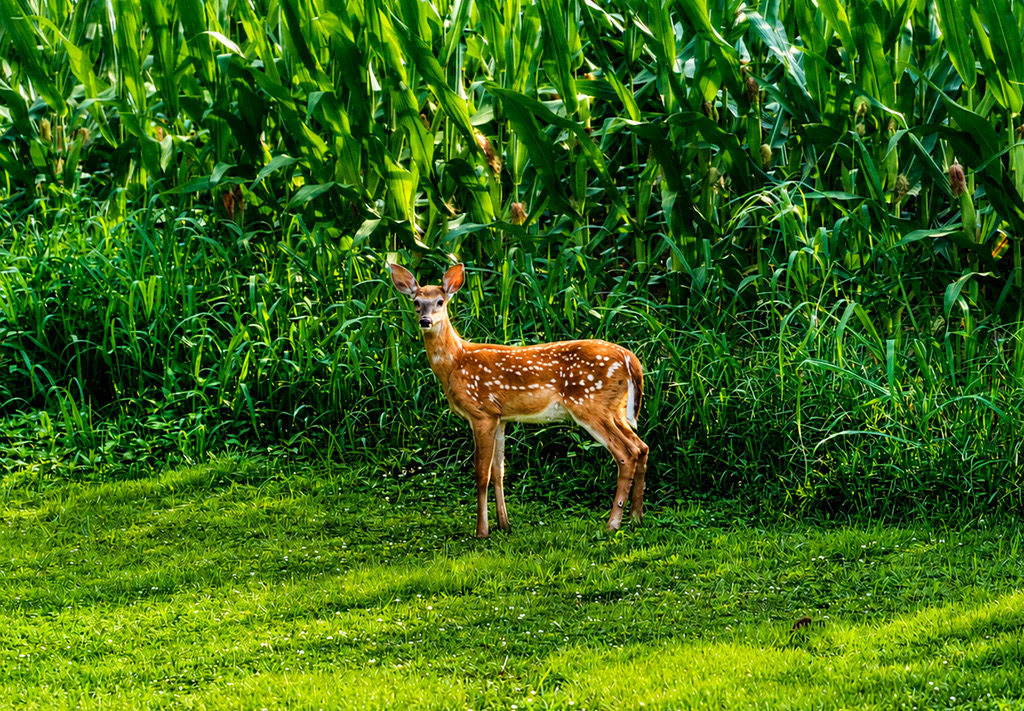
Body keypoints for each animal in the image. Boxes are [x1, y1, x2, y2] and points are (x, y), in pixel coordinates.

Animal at [389, 262, 649, 538]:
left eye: (440, 301)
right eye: (417, 302)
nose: (425, 320)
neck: (455, 362)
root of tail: (630, 359)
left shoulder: (481, 412)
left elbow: (481, 473)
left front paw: (482, 531)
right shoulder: (500, 417)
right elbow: (499, 471)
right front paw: (504, 524)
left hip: (591, 404)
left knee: (627, 454)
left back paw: (613, 523)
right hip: (616, 409)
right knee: (642, 447)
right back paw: (636, 517)